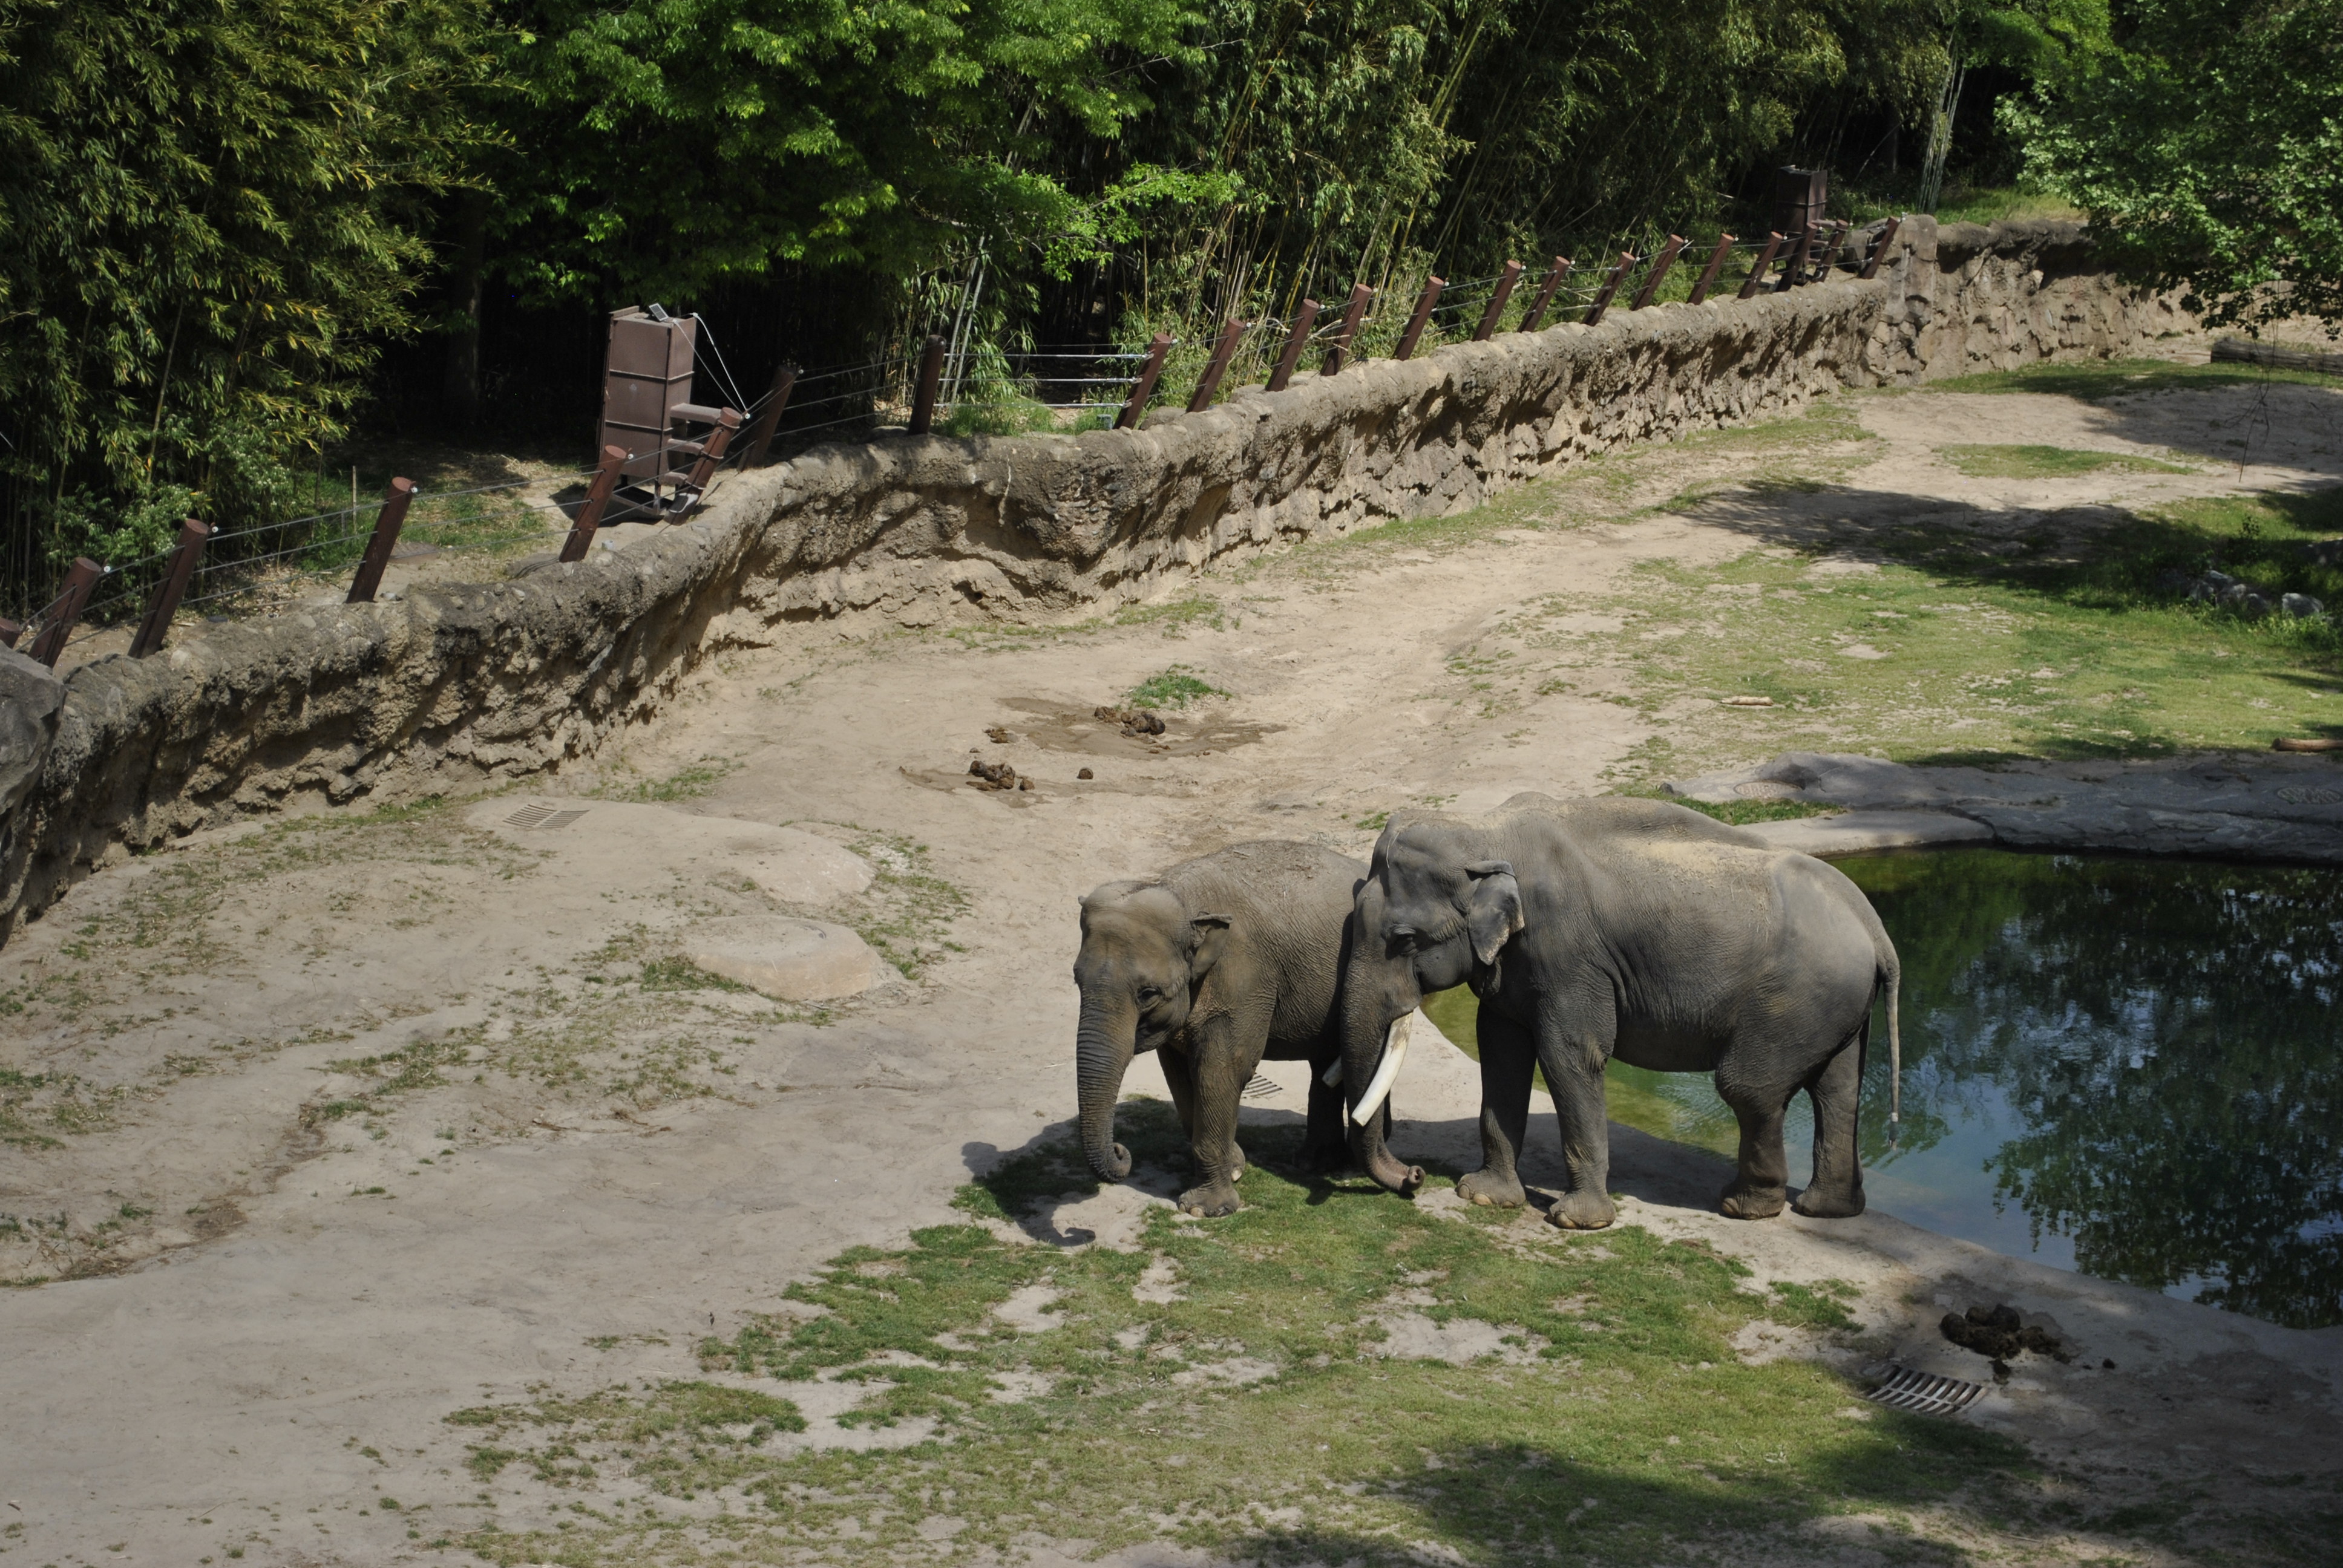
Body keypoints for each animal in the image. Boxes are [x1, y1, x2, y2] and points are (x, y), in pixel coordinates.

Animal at [1075, 840, 1370, 1216]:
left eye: (1148, 994)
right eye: (1076, 980)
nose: (1120, 1151)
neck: (1182, 896)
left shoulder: (1245, 978)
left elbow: (1221, 1070)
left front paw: (1205, 1209)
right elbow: (1179, 1075)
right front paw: (1235, 1166)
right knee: (1325, 1061)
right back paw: (1317, 1164)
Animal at [1338, 794, 1900, 1228]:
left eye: (1404, 939)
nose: (1414, 1177)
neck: (1485, 831)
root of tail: (1873, 924)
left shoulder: (1571, 957)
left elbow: (1570, 1058)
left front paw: (1575, 1222)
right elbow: (1500, 1053)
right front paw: (1482, 1197)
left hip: (1795, 998)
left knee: (1749, 1087)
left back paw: (1745, 1207)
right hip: (1835, 1004)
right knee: (1838, 1088)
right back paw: (1827, 1210)